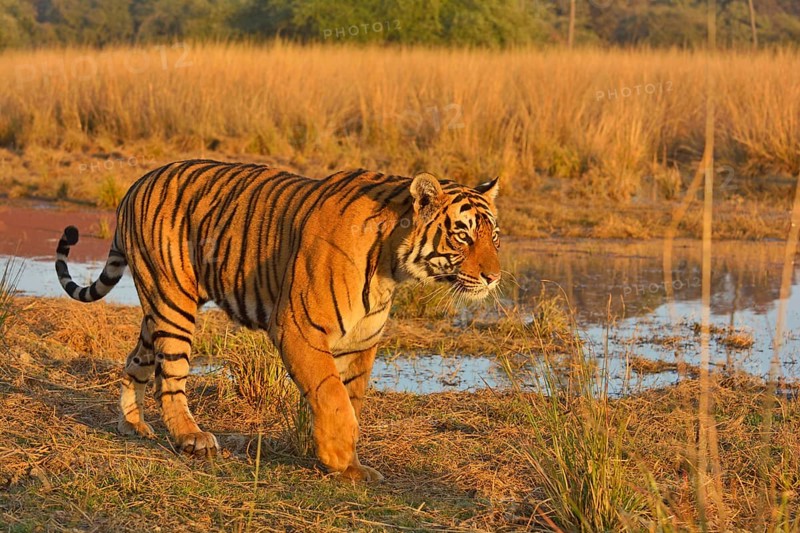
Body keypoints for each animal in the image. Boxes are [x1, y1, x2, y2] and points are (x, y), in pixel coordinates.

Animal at [54, 160, 500, 481]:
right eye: (462, 235)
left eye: (493, 236)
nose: (494, 277)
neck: (391, 266)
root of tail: (135, 185)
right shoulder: (298, 327)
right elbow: (333, 397)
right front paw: (338, 455)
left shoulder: (360, 343)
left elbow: (351, 399)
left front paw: (351, 467)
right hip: (173, 302)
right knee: (171, 376)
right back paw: (191, 437)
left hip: (157, 309)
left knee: (136, 361)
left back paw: (132, 424)